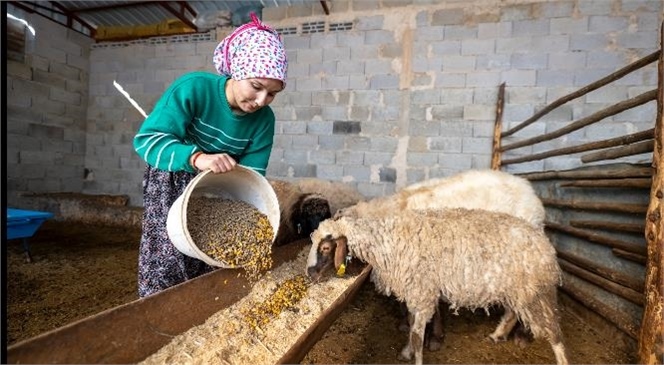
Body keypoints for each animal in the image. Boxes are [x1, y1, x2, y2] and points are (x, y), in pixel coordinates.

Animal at [308, 208, 568, 364]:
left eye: (326, 248)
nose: (310, 274)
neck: (387, 241)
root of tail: (545, 243)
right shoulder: (416, 291)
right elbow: (412, 325)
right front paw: (407, 352)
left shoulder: (422, 292)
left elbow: (417, 335)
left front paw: (415, 355)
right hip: (517, 289)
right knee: (513, 312)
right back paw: (497, 334)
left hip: (537, 290)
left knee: (554, 333)